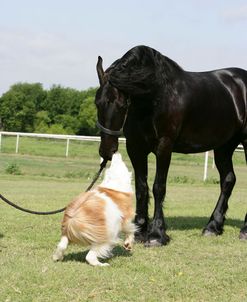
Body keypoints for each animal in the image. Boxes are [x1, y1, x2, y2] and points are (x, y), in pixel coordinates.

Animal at [94, 45, 247, 248]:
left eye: (121, 104)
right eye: (97, 103)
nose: (107, 151)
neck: (155, 96)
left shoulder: (164, 146)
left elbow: (159, 187)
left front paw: (156, 234)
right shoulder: (136, 148)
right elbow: (141, 188)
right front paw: (140, 230)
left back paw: (244, 230)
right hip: (224, 146)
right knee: (228, 180)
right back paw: (212, 227)